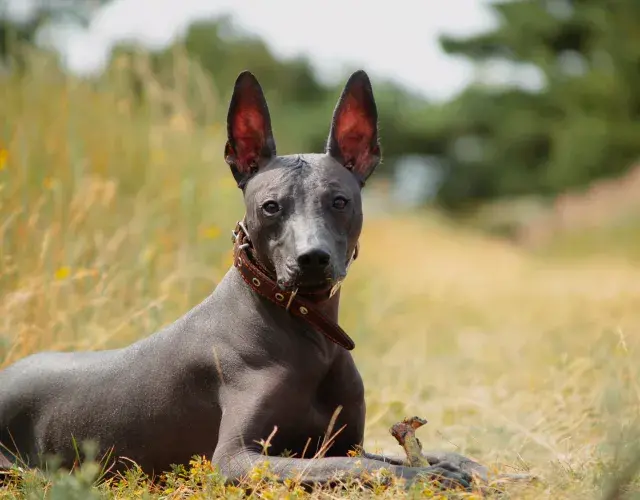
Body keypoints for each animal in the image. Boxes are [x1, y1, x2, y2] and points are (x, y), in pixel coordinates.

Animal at [1, 71, 476, 492]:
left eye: (340, 202)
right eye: (271, 206)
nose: (312, 259)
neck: (309, 335)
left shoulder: (345, 442)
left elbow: (383, 457)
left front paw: (452, 463)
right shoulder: (237, 458)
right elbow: (361, 466)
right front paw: (429, 476)